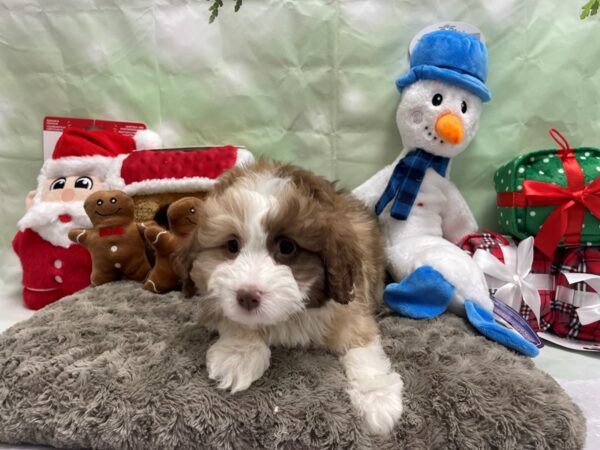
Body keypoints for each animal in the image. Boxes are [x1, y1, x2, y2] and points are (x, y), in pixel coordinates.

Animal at [176, 160, 406, 434]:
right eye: (232, 246)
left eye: (287, 247)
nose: (247, 297)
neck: (291, 314)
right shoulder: (215, 298)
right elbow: (234, 319)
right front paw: (239, 354)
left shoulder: (352, 306)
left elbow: (363, 347)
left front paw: (377, 396)